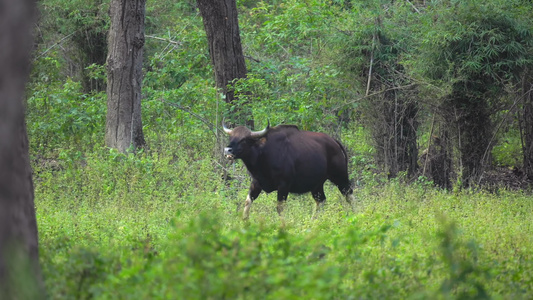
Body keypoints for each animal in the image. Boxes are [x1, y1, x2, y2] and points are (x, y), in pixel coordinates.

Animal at [221, 122, 354, 220]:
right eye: (231, 137)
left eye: (244, 139)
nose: (227, 150)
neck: (263, 154)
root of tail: (335, 142)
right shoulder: (256, 183)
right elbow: (247, 202)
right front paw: (244, 222)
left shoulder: (284, 186)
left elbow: (280, 209)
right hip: (317, 184)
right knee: (320, 201)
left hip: (340, 176)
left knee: (349, 195)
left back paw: (355, 215)